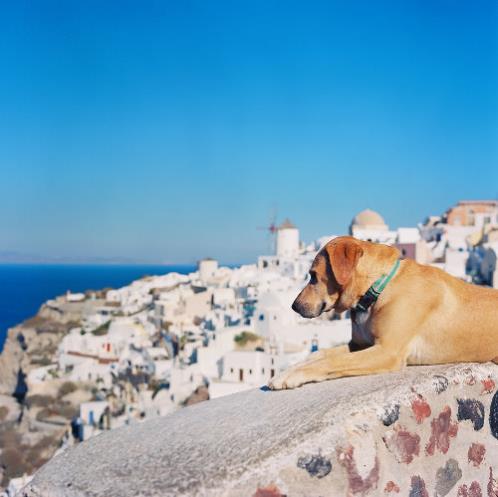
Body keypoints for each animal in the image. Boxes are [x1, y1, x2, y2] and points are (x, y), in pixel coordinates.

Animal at [268, 234, 498, 390]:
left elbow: (331, 361)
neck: (378, 288)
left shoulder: (387, 351)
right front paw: (290, 368)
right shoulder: (358, 345)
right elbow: (320, 353)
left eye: (314, 276)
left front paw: (291, 375)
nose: (294, 306)